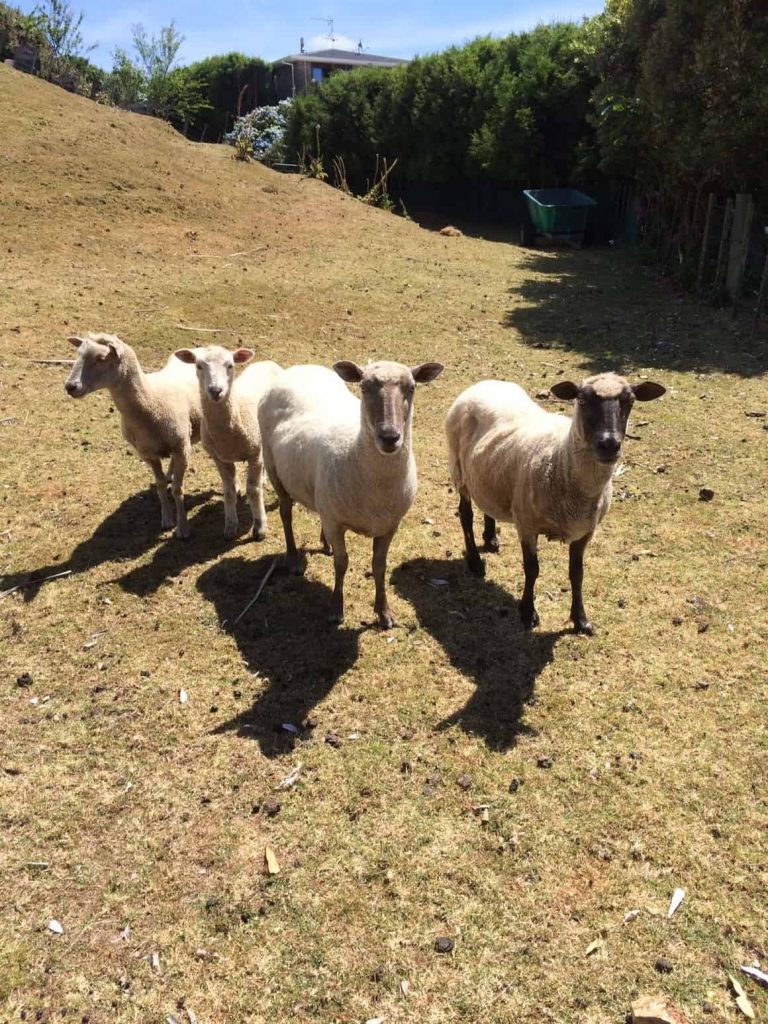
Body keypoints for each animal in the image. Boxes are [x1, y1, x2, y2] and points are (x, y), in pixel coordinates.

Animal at [64, 333, 201, 544]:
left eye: (101, 358)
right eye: (78, 354)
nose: (70, 386)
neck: (150, 399)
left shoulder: (181, 448)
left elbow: (178, 489)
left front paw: (182, 527)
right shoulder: (148, 453)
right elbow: (160, 485)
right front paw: (167, 518)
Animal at [174, 344, 282, 540]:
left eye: (230, 365)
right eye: (199, 365)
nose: (216, 390)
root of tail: (268, 362)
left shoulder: (254, 454)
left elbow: (253, 491)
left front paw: (260, 527)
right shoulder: (220, 458)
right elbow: (229, 491)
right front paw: (230, 526)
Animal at [257, 360, 442, 630]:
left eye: (412, 387)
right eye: (363, 387)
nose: (390, 437)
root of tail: (296, 369)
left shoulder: (389, 525)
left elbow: (379, 566)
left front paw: (384, 613)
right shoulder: (336, 523)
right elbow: (342, 563)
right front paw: (336, 609)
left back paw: (324, 544)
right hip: (273, 469)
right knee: (285, 513)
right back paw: (292, 559)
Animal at [444, 372, 667, 630]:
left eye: (630, 401)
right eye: (582, 400)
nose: (609, 444)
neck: (561, 458)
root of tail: (483, 384)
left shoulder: (585, 531)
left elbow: (577, 574)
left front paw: (581, 619)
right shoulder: (527, 525)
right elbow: (532, 570)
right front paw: (528, 612)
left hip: (487, 471)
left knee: (486, 502)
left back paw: (490, 539)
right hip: (459, 471)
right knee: (466, 515)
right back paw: (475, 562)